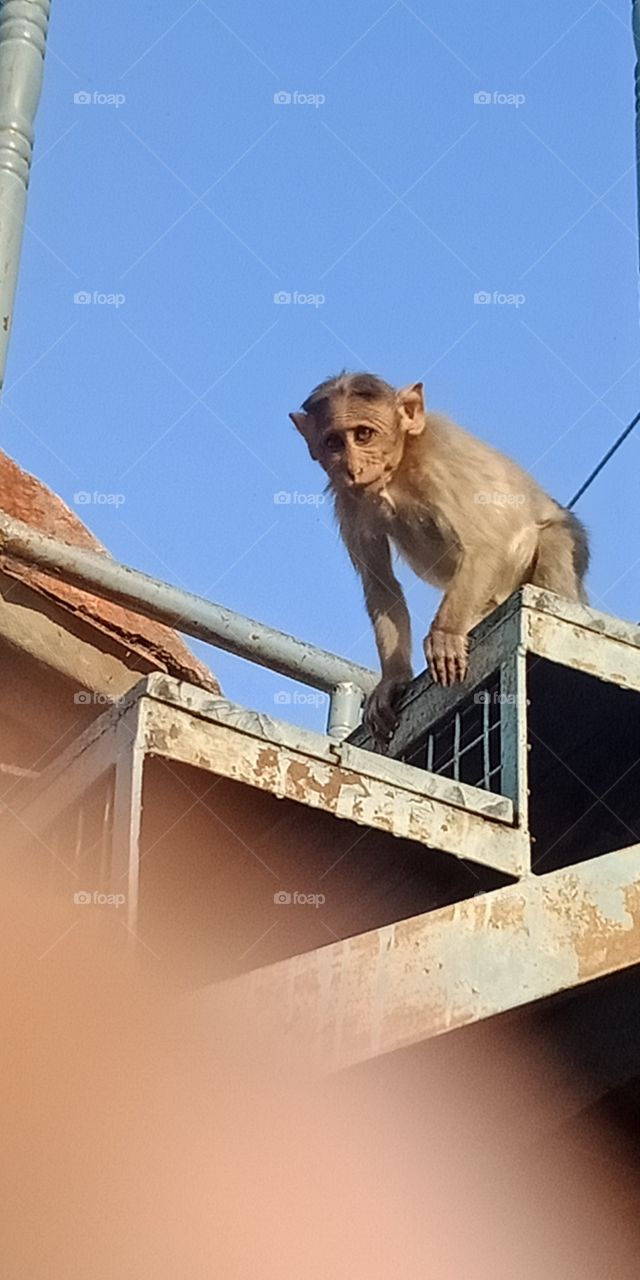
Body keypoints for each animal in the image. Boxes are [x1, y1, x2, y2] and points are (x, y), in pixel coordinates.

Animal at [290, 372, 589, 744]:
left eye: (363, 434)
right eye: (333, 443)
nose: (353, 467)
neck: (397, 470)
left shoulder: (440, 460)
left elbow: (484, 542)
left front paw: (444, 634)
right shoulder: (349, 500)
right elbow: (381, 584)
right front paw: (393, 680)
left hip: (566, 540)